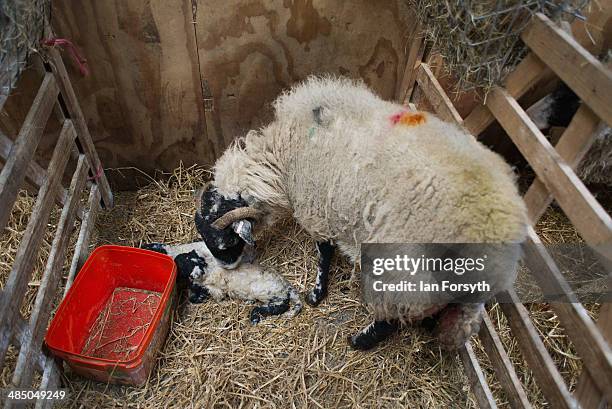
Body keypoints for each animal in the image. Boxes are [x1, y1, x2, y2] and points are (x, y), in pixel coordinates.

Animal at [139, 239, 302, 322]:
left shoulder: (213, 289)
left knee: (280, 305)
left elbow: (198, 296)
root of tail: (287, 286)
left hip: (272, 294)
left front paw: (199, 297)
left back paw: (255, 315)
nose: (196, 274)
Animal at [200, 75, 524, 348]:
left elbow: (324, 252)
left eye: (226, 242)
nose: (227, 269)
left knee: (391, 318)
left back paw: (359, 340)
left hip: (404, 276)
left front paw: (317, 294)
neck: (284, 152)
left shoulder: (317, 208)